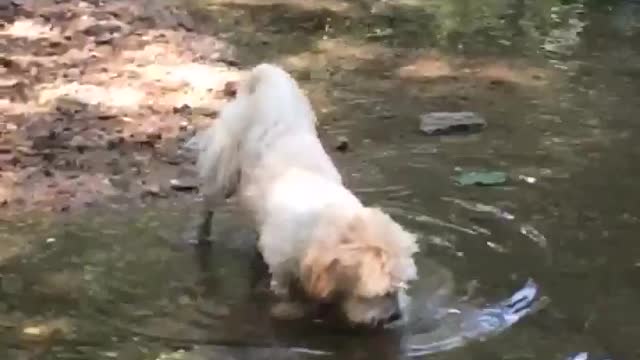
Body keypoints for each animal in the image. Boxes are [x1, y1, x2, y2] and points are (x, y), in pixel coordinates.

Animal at [189, 64, 420, 326]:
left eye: (400, 287)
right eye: (378, 294)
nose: (395, 317)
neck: (323, 217)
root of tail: (267, 75)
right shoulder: (281, 271)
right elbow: (285, 293)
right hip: (222, 169)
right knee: (208, 205)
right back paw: (202, 237)